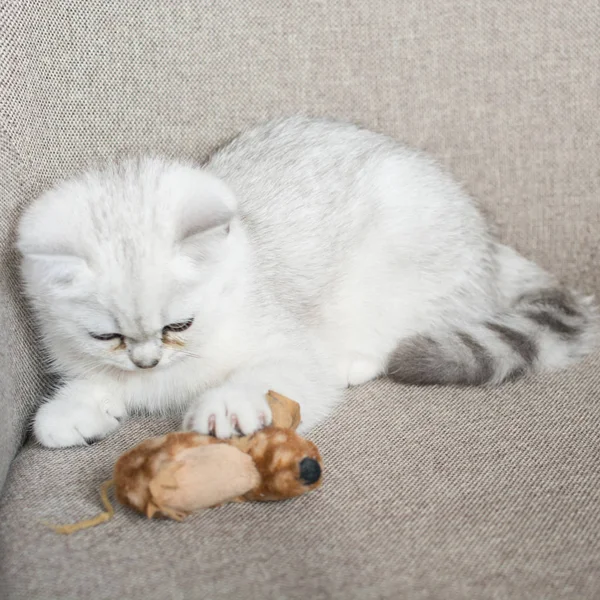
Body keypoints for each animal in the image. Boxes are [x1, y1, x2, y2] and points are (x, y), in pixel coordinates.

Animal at [16, 117, 596, 446]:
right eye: (107, 336)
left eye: (180, 324)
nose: (147, 361)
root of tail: (491, 245)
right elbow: (93, 382)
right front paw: (71, 410)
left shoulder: (285, 345)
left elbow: (272, 375)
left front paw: (227, 405)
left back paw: (355, 359)